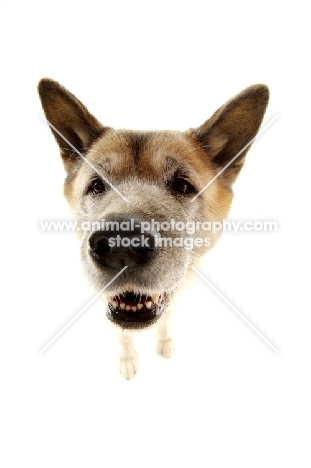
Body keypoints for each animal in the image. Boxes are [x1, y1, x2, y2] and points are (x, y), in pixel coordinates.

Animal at [37, 80, 270, 378]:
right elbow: (123, 335)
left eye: (182, 185)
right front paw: (128, 359)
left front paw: (165, 342)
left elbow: (167, 319)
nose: (120, 245)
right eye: (97, 185)